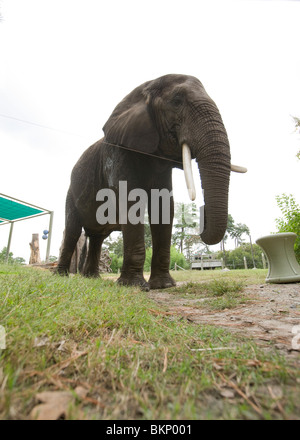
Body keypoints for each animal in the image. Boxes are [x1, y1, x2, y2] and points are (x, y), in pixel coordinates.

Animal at [56, 74, 246, 290]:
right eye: (177, 101)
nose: (202, 219)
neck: (144, 89)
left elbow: (163, 205)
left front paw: (163, 286)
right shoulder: (117, 151)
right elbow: (130, 198)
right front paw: (134, 286)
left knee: (97, 237)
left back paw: (92, 278)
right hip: (70, 195)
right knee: (72, 230)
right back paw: (61, 276)